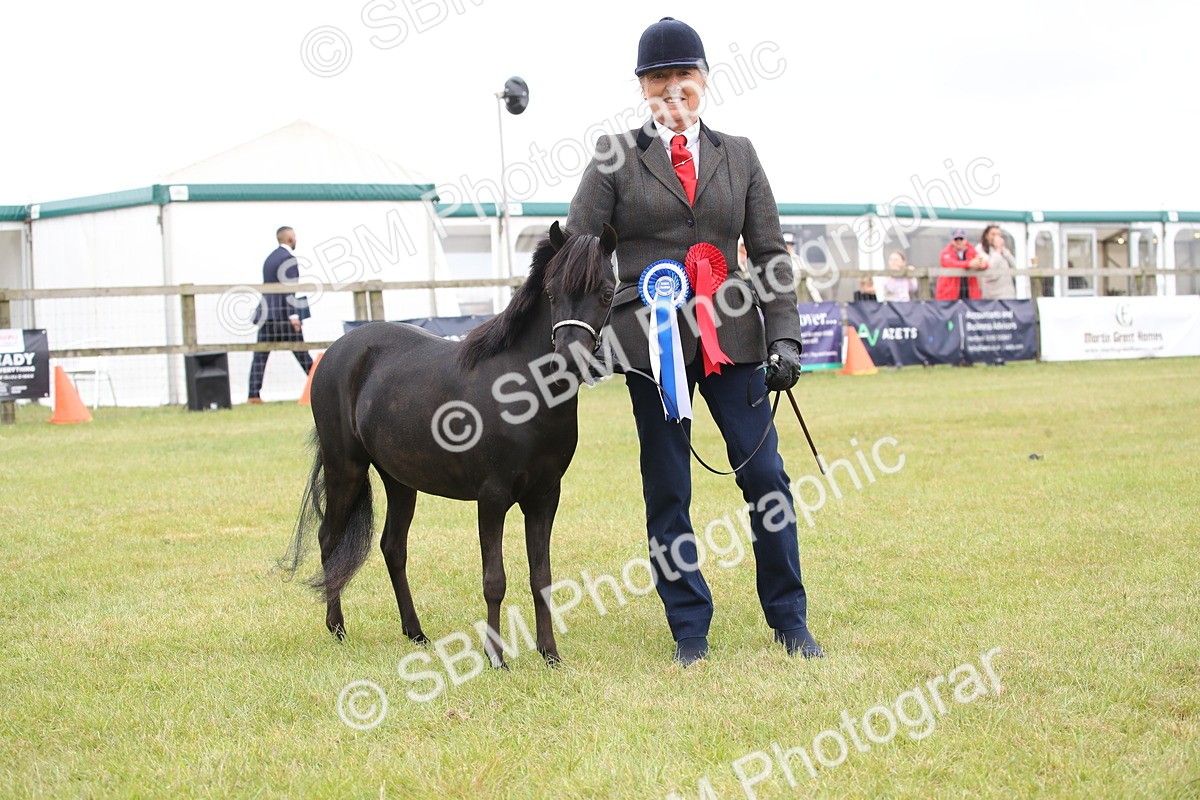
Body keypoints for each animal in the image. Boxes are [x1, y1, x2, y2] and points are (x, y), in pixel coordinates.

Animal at [282, 221, 617, 668]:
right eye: (551, 292)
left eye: (607, 292)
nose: (568, 359)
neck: (523, 391)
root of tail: (338, 350)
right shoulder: (492, 498)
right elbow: (495, 580)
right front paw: (496, 658)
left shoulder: (545, 497)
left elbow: (541, 577)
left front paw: (549, 654)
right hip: (345, 470)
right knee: (328, 540)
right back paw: (337, 627)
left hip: (399, 481)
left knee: (393, 548)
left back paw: (415, 632)